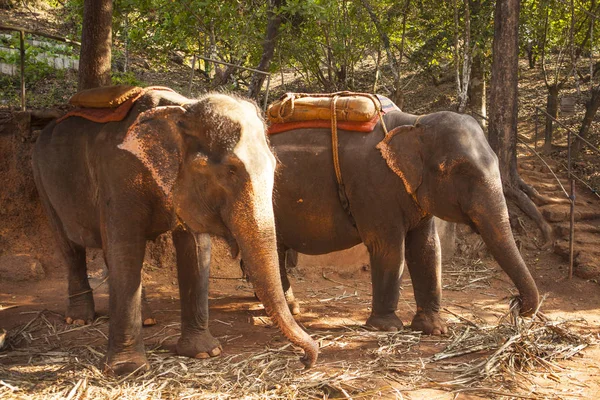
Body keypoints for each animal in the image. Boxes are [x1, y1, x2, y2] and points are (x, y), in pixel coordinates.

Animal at [31, 85, 318, 376]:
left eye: (274, 165)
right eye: (231, 170)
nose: (305, 360)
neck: (181, 108)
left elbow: (196, 247)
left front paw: (205, 352)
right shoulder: (119, 174)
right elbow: (125, 245)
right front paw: (128, 370)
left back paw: (145, 319)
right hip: (42, 179)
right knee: (70, 247)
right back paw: (79, 319)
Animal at [248, 92, 540, 332]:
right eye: (460, 170)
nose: (515, 303)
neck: (412, 123)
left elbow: (427, 247)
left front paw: (434, 328)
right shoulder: (373, 186)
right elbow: (389, 247)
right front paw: (386, 327)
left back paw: (277, 305)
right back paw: (282, 308)